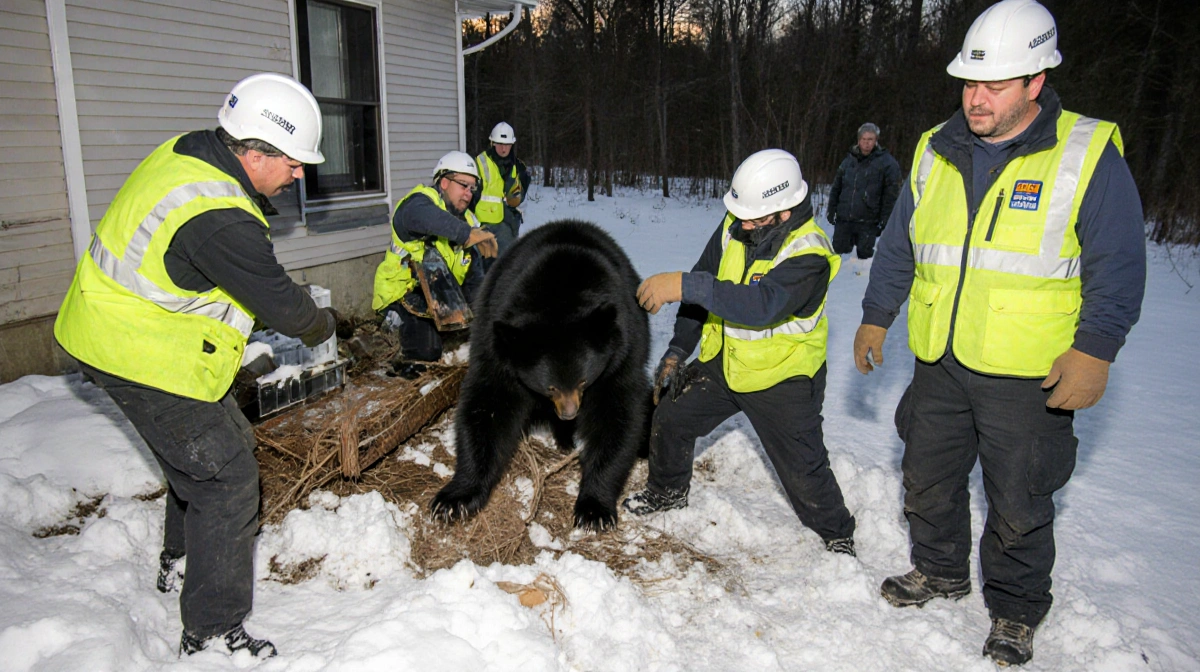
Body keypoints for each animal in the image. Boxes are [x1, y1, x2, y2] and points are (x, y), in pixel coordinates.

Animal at [430, 219, 651, 531]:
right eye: (550, 387)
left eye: (584, 380)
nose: (569, 414)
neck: (561, 294)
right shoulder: (496, 344)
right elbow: (488, 404)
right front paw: (453, 500)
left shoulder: (623, 350)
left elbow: (617, 414)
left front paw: (594, 510)